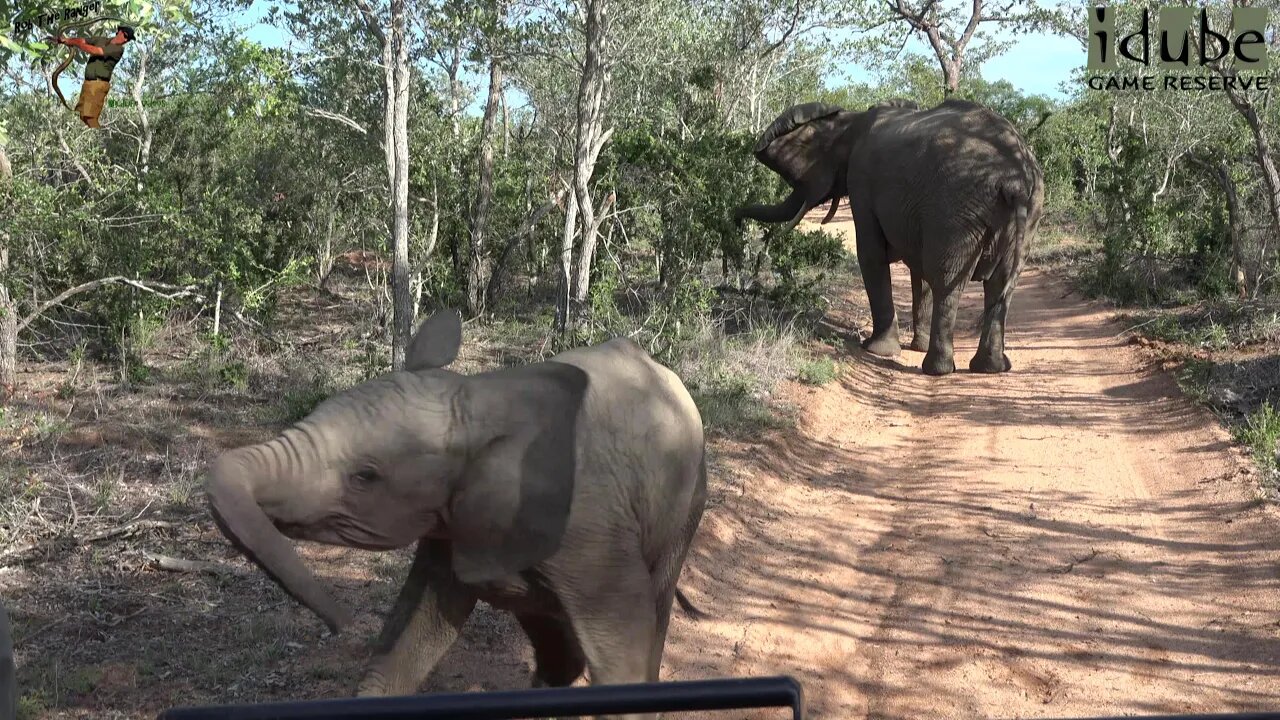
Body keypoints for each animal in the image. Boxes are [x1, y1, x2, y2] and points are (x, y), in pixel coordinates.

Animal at [208, 307, 711, 712]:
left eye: (365, 476)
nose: (343, 623)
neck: (476, 402)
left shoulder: (591, 529)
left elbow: (622, 654)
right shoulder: (452, 524)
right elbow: (411, 631)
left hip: (689, 497)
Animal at [737, 97, 1044, 371]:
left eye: (796, 180)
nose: (736, 220)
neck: (849, 120)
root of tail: (1013, 180)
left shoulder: (861, 179)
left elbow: (871, 255)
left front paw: (876, 350)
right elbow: (919, 269)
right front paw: (913, 346)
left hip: (958, 208)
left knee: (947, 281)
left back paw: (937, 369)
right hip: (1028, 209)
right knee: (1000, 285)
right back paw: (991, 368)